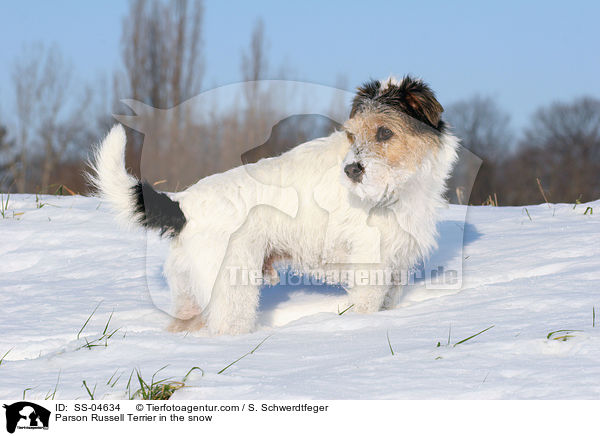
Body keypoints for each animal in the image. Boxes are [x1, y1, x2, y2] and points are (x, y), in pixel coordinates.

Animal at [86, 76, 458, 334]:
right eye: (352, 134)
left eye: (384, 132)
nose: (352, 170)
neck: (400, 185)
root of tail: (184, 206)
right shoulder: (371, 265)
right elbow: (367, 306)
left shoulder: (396, 265)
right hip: (233, 291)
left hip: (190, 294)